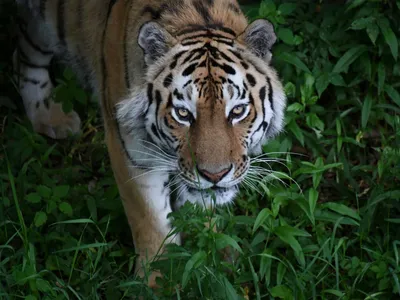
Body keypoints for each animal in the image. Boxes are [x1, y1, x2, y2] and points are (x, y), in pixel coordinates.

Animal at [14, 0, 286, 288]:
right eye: (183, 113)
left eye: (237, 111)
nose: (215, 175)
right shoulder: (133, 152)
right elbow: (151, 220)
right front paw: (158, 280)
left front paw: (215, 257)